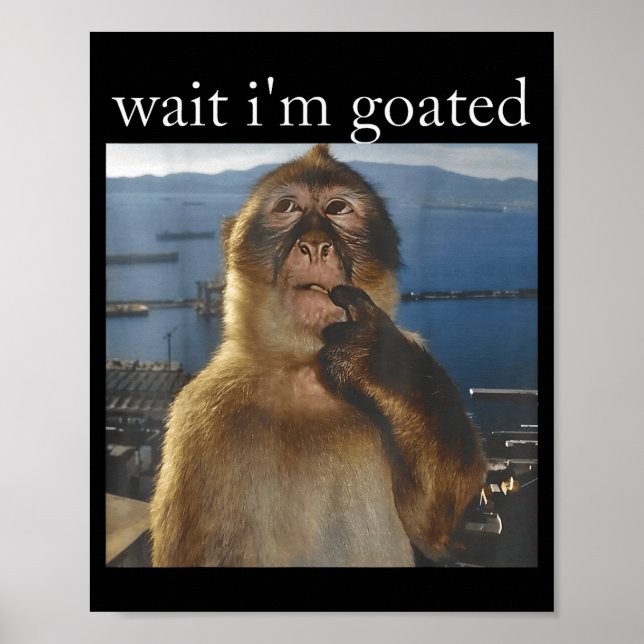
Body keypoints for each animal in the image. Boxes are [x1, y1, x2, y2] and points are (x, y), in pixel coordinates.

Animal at [149, 144, 487, 567]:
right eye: (288, 207)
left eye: (338, 208)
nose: (313, 245)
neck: (305, 373)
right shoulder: (200, 416)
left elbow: (441, 529)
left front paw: (381, 361)